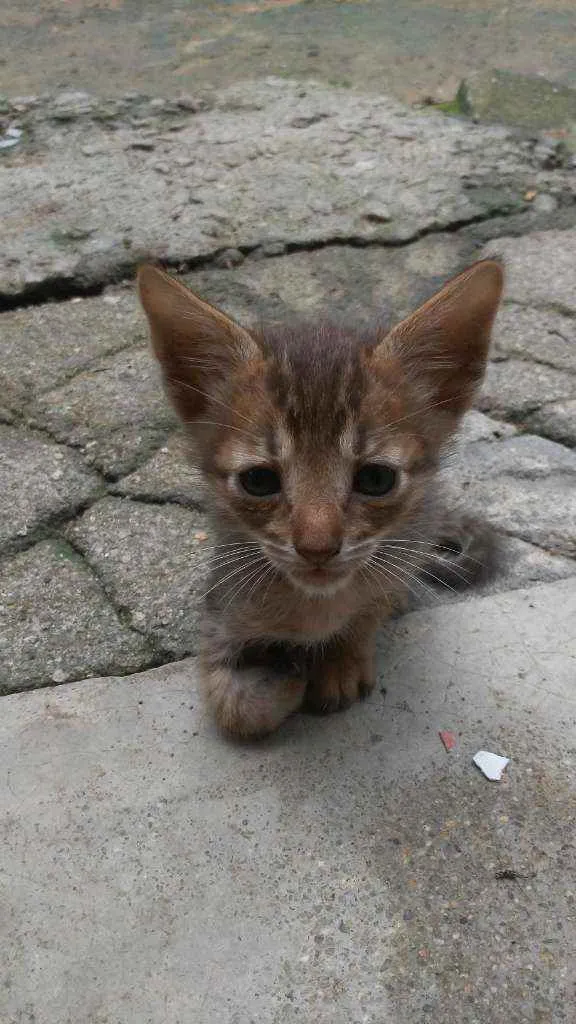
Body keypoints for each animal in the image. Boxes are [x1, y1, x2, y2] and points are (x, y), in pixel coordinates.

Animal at [136, 256, 500, 737]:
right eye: (258, 481)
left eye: (376, 479)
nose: (317, 547)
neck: (316, 608)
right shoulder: (218, 615)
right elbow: (234, 708)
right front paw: (283, 671)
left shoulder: (388, 570)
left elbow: (368, 611)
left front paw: (340, 659)